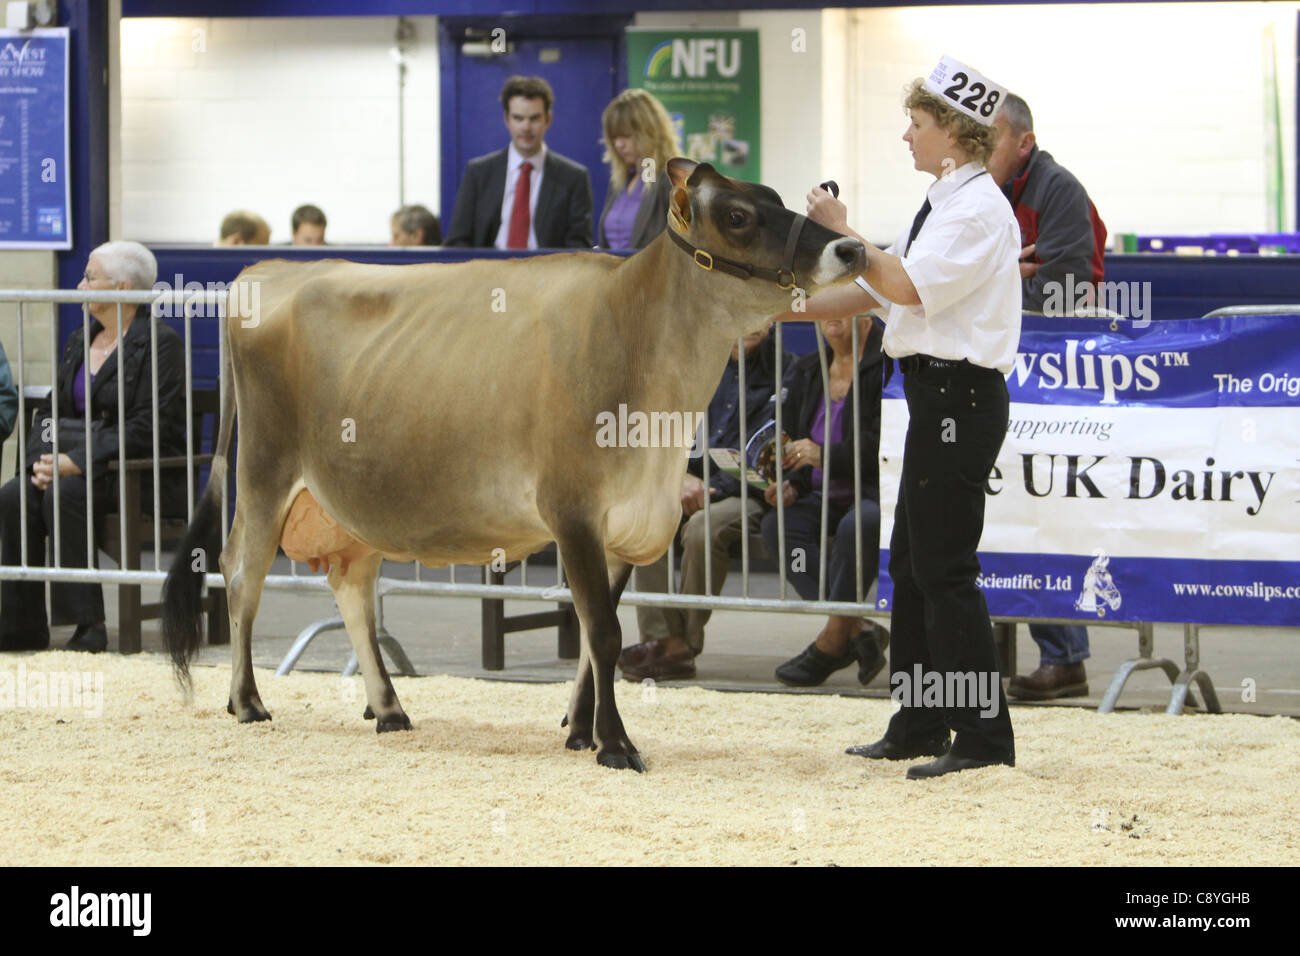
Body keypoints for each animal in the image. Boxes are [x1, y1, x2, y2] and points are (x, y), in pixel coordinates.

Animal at [167, 157, 868, 770]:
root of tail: (267, 270)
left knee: (352, 587)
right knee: (242, 571)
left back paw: (389, 708)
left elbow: (591, 635)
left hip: (350, 500)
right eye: (739, 216)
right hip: (264, 470)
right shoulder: (572, 510)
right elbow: (603, 633)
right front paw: (617, 747)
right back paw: (248, 701)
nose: (852, 250)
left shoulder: (627, 523)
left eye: (777, 198)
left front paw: (581, 733)